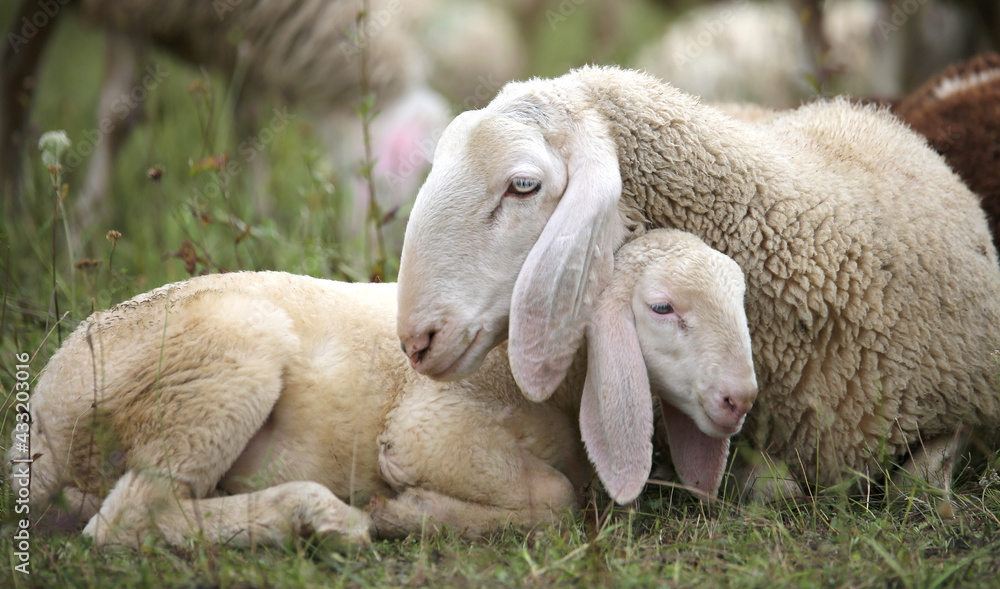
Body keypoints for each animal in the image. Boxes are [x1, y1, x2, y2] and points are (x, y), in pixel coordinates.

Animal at [11, 226, 752, 548]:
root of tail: (43, 410)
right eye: (661, 307)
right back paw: (320, 515)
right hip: (219, 366)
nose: (739, 399)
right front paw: (409, 509)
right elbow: (556, 497)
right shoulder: (432, 426)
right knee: (128, 519)